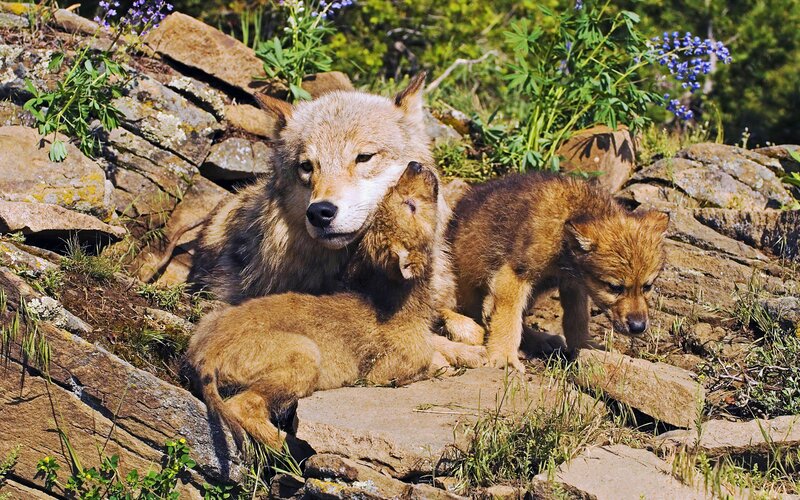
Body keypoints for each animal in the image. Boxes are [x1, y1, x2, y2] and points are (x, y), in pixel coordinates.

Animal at [186, 162, 486, 448]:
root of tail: (202, 357)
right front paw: (454, 362)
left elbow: (441, 342)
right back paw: (292, 448)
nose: (415, 165)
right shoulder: (382, 373)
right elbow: (431, 362)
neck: (392, 300)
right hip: (303, 353)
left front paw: (476, 351)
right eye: (410, 206)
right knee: (243, 406)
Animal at [447, 172, 669, 371]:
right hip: (470, 288)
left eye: (648, 286)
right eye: (614, 287)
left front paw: (585, 347)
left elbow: (577, 320)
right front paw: (505, 357)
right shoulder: (513, 275)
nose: (638, 327)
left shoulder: (574, 284)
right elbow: (507, 320)